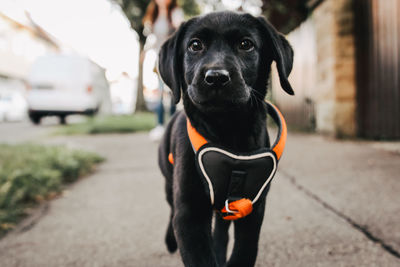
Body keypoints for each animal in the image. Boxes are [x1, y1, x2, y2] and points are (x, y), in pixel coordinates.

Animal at [158, 11, 292, 266]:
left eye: (246, 44)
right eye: (195, 45)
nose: (216, 77)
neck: (227, 131)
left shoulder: (252, 207)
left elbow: (244, 252)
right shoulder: (189, 215)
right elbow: (200, 256)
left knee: (220, 228)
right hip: (169, 180)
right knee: (170, 207)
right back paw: (169, 240)